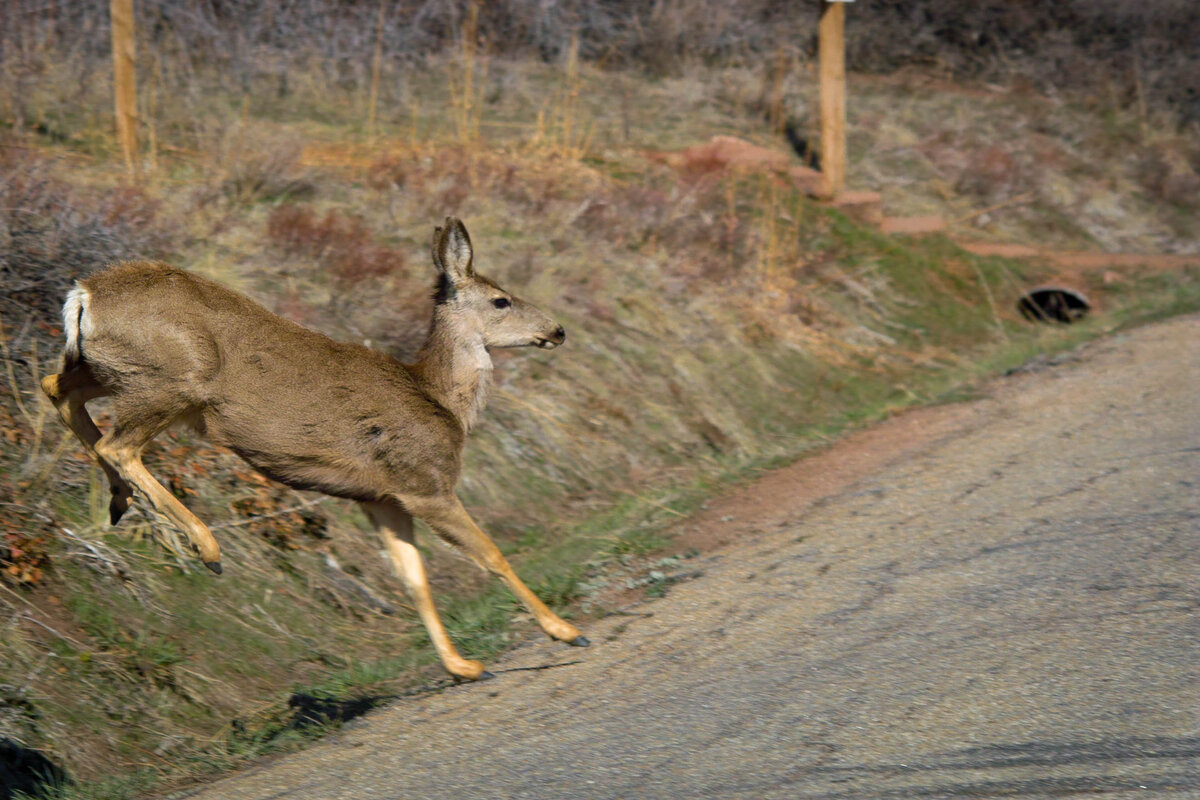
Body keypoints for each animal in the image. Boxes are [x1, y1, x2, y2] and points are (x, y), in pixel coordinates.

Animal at [40, 217, 588, 681]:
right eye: (501, 300)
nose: (558, 329)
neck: (439, 400)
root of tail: (84, 293)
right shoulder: (425, 481)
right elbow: (491, 554)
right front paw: (566, 632)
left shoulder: (383, 498)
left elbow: (415, 580)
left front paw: (464, 666)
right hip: (171, 379)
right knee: (117, 445)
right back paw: (206, 548)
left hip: (109, 369)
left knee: (56, 390)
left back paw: (120, 501)